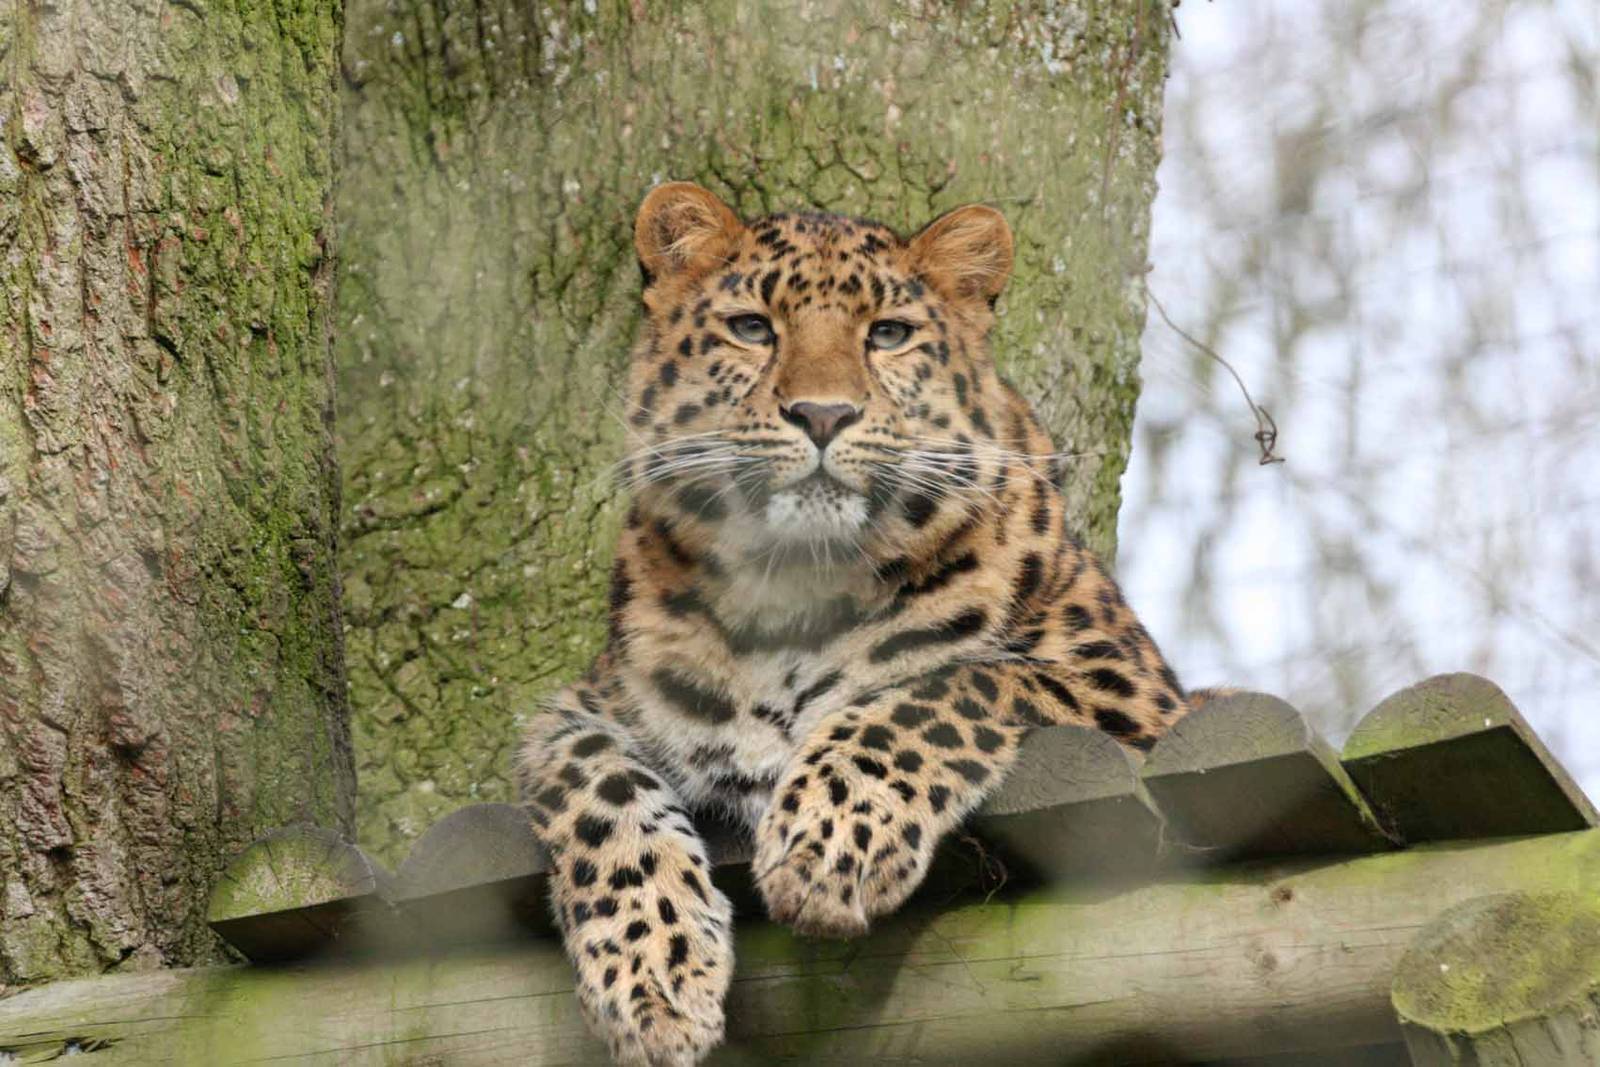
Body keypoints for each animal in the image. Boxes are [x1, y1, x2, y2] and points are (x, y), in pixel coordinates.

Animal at [518, 181, 1200, 1066]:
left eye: (888, 334)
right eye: (752, 328)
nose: (821, 413)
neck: (794, 586)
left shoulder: (1130, 690)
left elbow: (950, 683)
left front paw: (826, 848)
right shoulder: (583, 708)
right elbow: (599, 790)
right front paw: (652, 975)